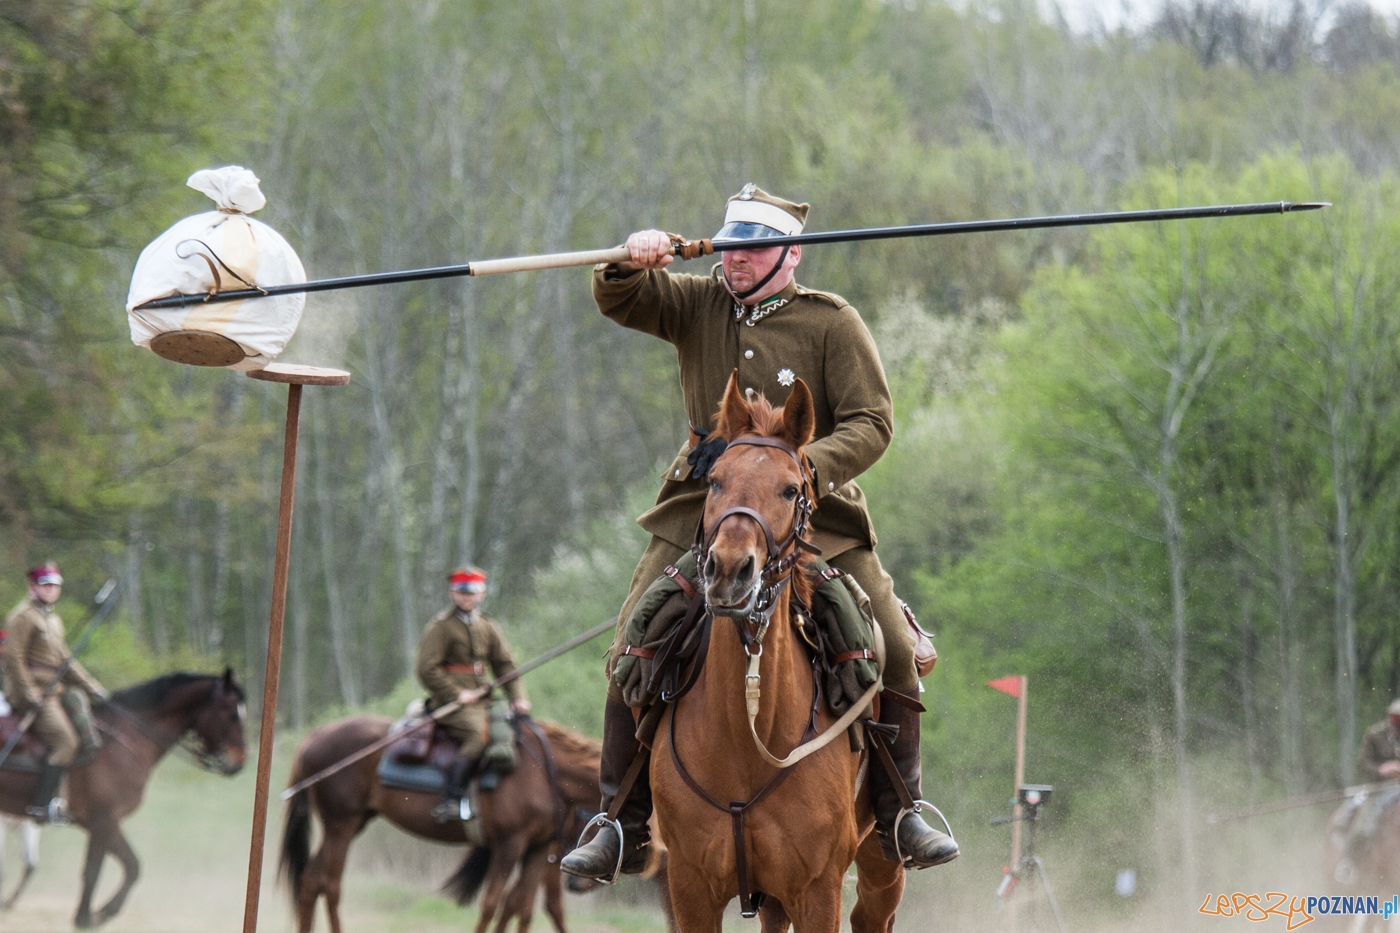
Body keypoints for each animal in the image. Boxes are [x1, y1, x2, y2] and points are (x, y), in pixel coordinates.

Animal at [0, 669, 246, 924]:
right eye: (231, 713)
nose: (238, 763)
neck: (125, 741)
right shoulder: (103, 821)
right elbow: (98, 870)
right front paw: (87, 918)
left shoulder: (102, 824)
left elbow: (131, 867)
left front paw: (101, 913)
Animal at [282, 711, 666, 930]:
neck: (545, 774)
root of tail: (311, 739)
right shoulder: (510, 844)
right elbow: (494, 904)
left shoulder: (538, 849)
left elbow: (519, 905)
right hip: (341, 824)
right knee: (328, 884)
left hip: (352, 822)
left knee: (311, 880)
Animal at [649, 375, 901, 930]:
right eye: (714, 480)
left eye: (791, 489)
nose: (728, 570)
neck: (747, 743)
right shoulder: (689, 887)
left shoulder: (818, 890)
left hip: (880, 869)